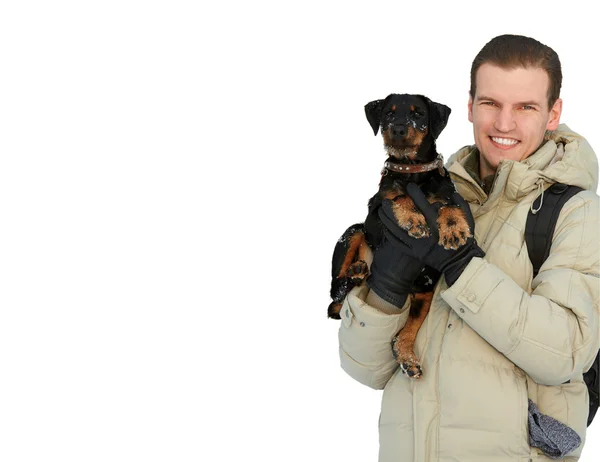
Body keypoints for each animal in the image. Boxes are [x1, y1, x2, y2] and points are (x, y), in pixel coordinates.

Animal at [328, 93, 474, 378]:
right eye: (388, 113)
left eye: (418, 113)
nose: (397, 130)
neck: (413, 170)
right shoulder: (376, 211)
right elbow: (399, 196)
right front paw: (414, 219)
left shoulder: (445, 193)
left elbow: (448, 204)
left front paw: (454, 229)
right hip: (353, 231)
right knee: (334, 293)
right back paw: (356, 272)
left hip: (426, 287)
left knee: (403, 331)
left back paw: (407, 357)